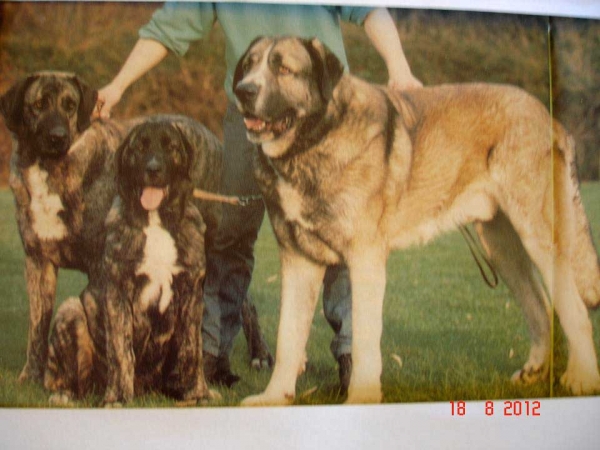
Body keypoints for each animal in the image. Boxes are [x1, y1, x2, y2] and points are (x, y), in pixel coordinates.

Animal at [44, 118, 219, 404]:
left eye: (170, 146)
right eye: (140, 147)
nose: (153, 169)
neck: (156, 220)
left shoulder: (191, 292)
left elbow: (192, 350)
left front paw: (197, 394)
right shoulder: (119, 291)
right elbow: (121, 350)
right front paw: (117, 398)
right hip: (70, 310)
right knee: (68, 379)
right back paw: (65, 395)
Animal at [232, 37, 600, 406]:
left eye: (283, 68)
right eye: (248, 66)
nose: (243, 90)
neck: (313, 140)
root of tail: (546, 116)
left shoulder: (365, 260)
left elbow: (364, 337)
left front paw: (362, 397)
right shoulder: (298, 260)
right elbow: (288, 336)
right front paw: (274, 397)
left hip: (537, 233)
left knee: (573, 307)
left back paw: (581, 378)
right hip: (500, 246)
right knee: (539, 304)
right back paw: (534, 372)